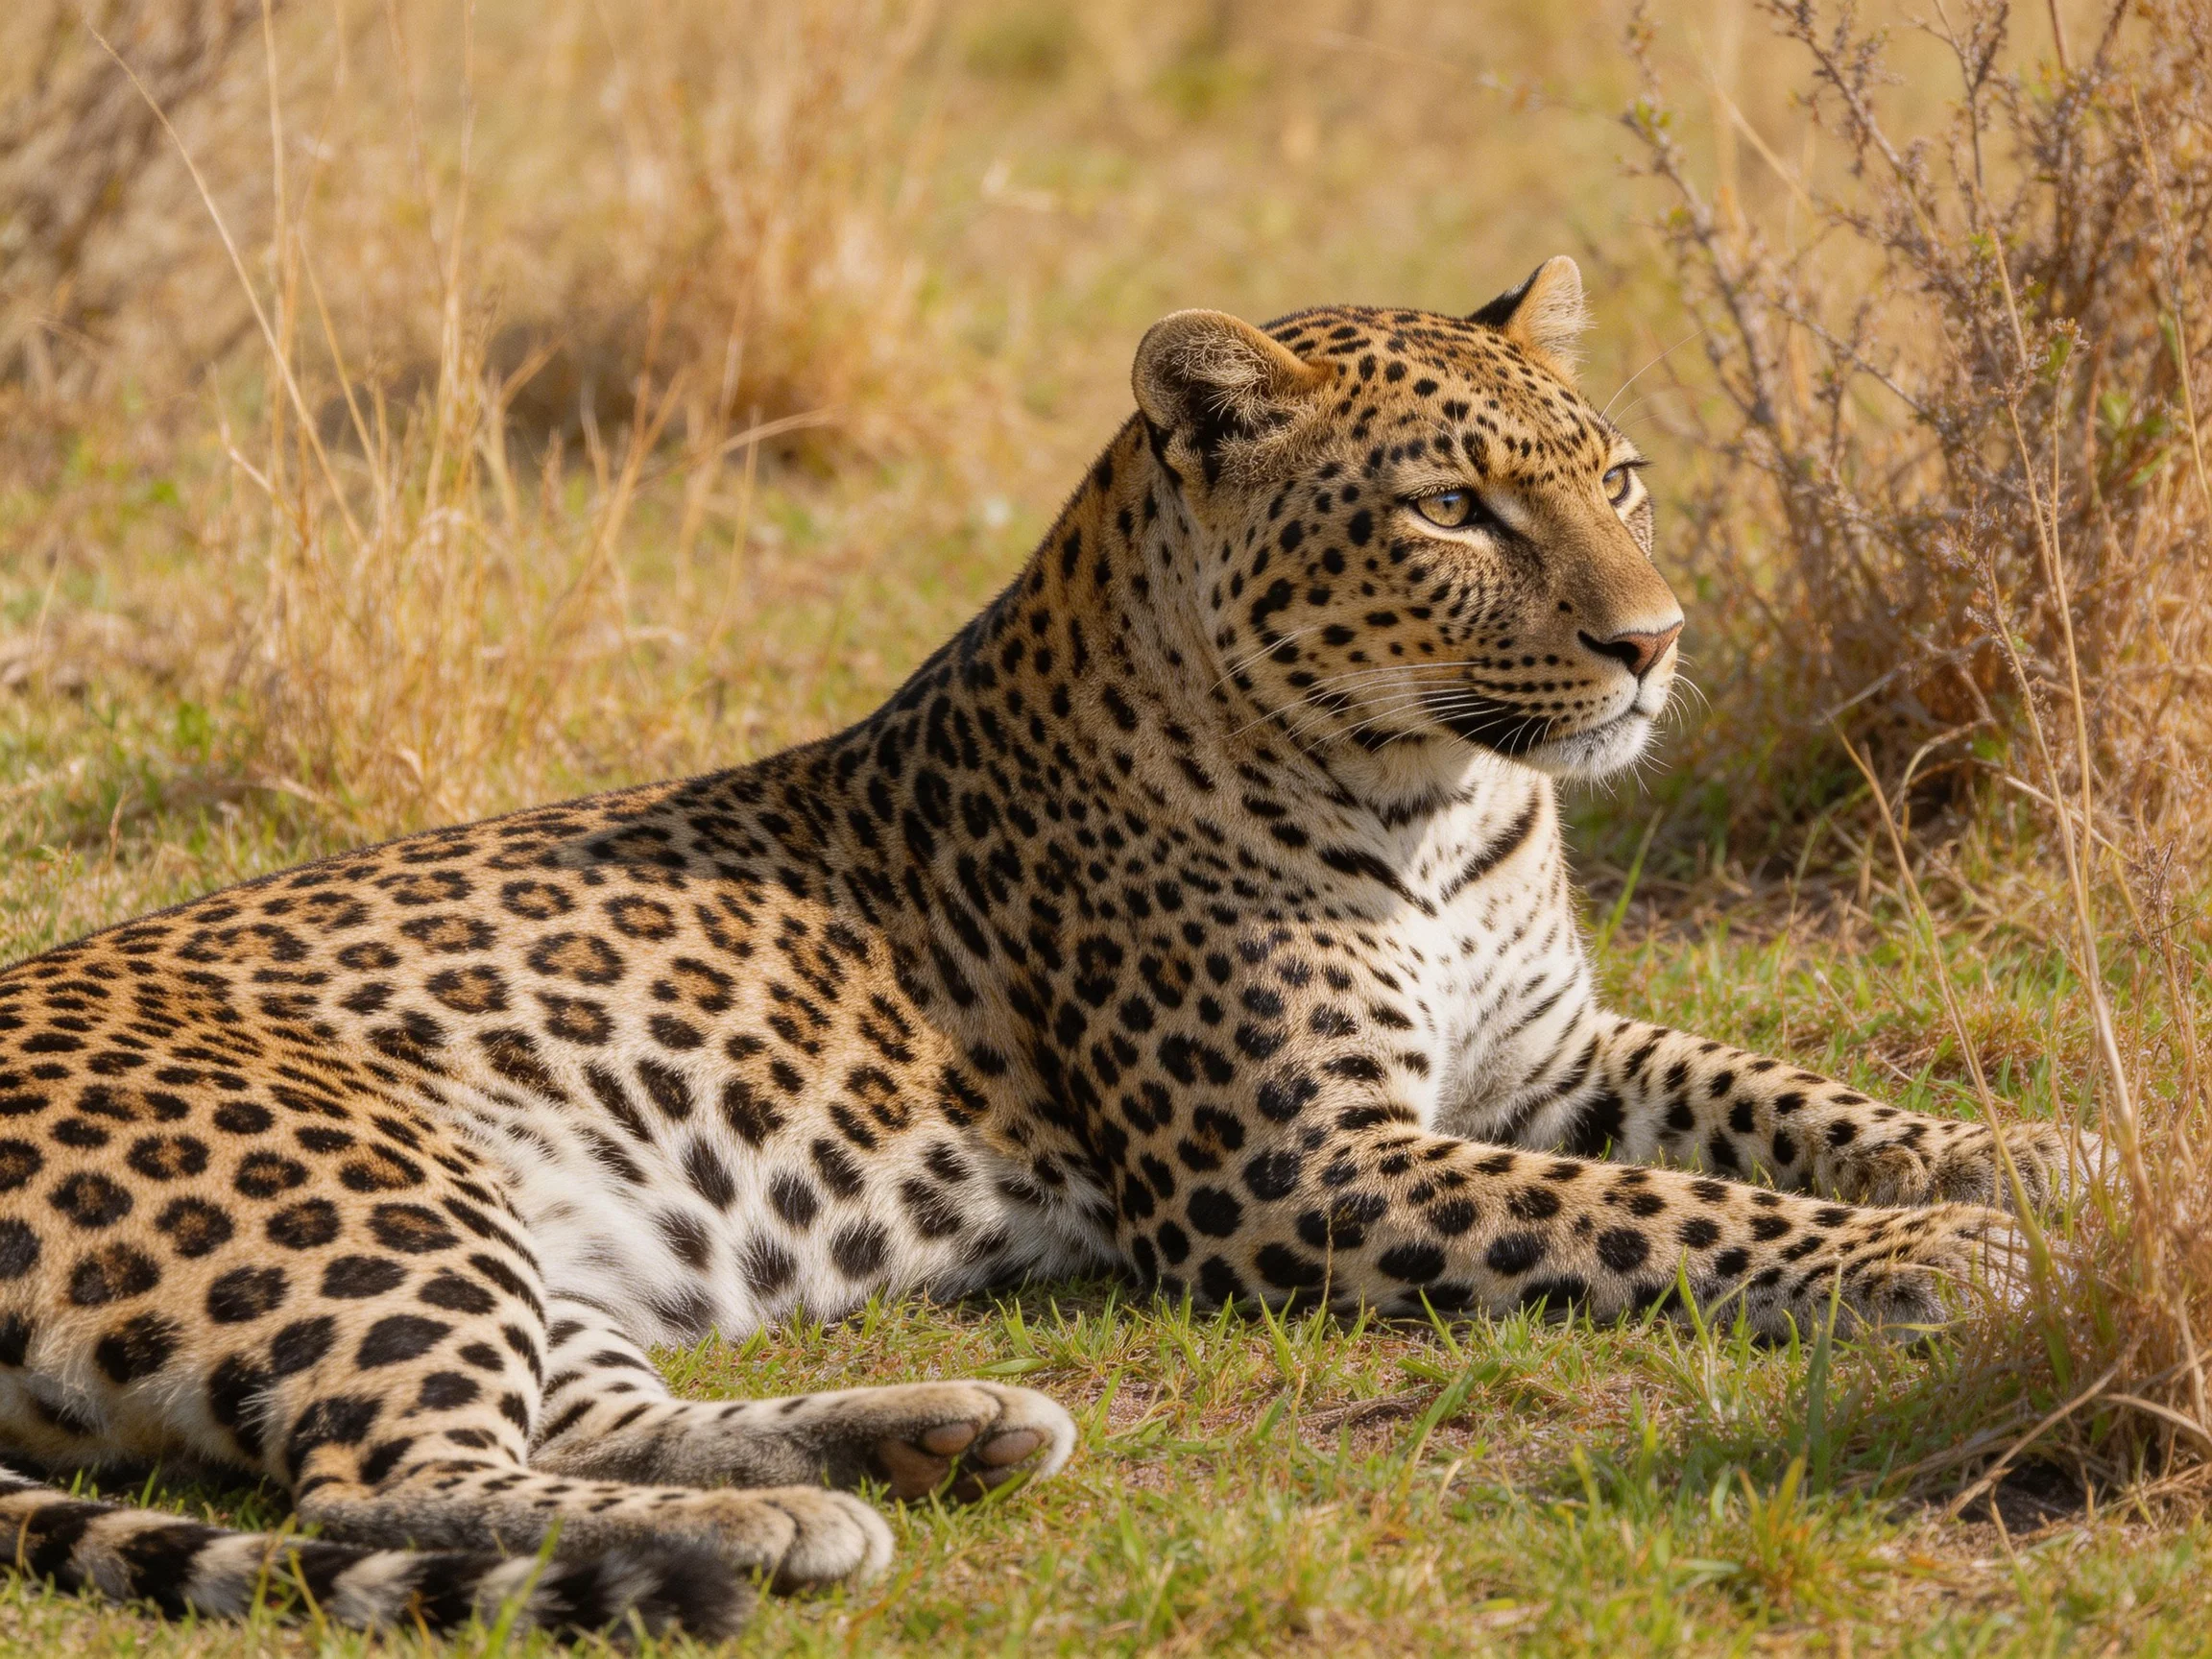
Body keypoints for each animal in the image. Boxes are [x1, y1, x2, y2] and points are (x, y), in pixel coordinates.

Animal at [0, 256, 2088, 1640]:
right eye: (1449, 508)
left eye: (1619, 475)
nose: (1651, 642)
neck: (1440, 796)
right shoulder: (1301, 1169)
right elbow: (1677, 1212)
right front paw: (1936, 1256)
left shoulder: (1552, 1060)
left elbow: (1792, 1101)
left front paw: (2030, 1158)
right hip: (369, 1172)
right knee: (391, 1476)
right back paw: (751, 1545)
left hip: (515, 1228)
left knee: (584, 1407)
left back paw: (917, 1449)